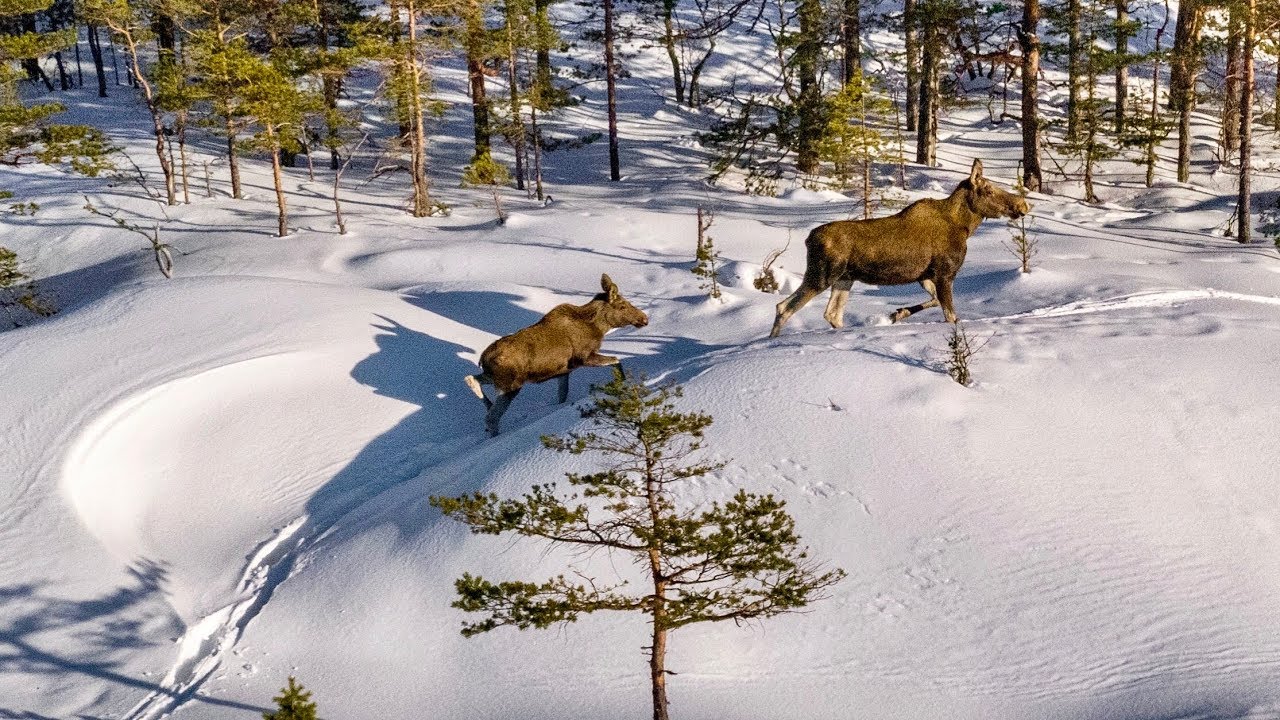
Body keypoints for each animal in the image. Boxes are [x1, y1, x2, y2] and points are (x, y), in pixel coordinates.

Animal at [465, 274, 649, 436]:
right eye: (623, 306)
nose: (644, 318)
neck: (598, 328)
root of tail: (483, 359)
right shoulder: (583, 357)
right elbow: (616, 360)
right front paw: (623, 384)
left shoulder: (564, 370)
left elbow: (562, 395)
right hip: (510, 385)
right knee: (491, 417)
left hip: (495, 379)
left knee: (471, 379)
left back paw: (487, 405)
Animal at [770, 159, 1029, 337]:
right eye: (989, 190)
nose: (1023, 205)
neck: (965, 227)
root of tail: (808, 239)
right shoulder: (945, 273)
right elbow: (950, 315)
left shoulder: (925, 275)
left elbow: (935, 301)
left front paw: (898, 313)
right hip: (822, 275)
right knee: (784, 307)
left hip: (844, 278)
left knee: (831, 313)